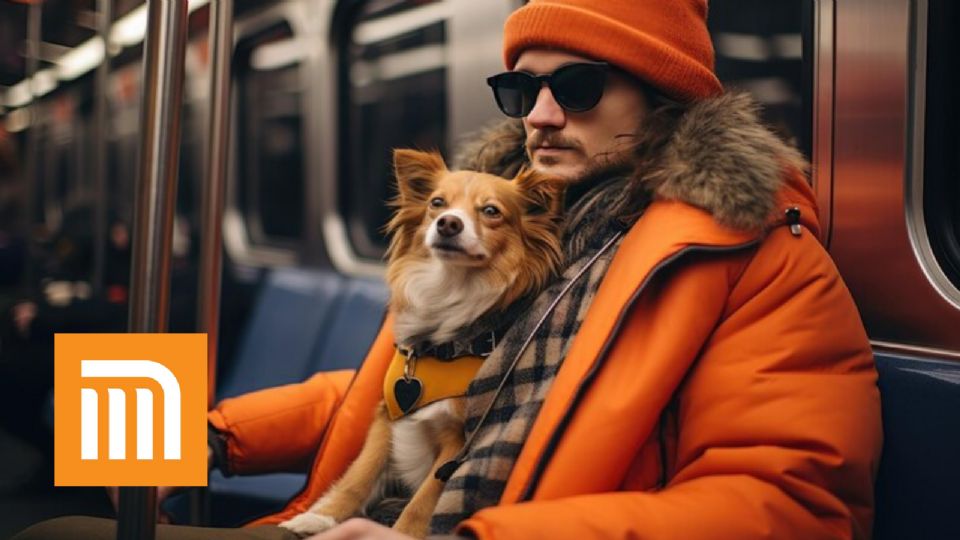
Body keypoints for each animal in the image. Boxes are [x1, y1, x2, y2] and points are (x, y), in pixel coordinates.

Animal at [278, 150, 564, 536]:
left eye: (491, 211)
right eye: (437, 203)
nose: (448, 223)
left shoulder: (455, 445)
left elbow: (421, 503)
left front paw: (396, 533)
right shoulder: (387, 417)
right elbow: (358, 475)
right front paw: (320, 516)